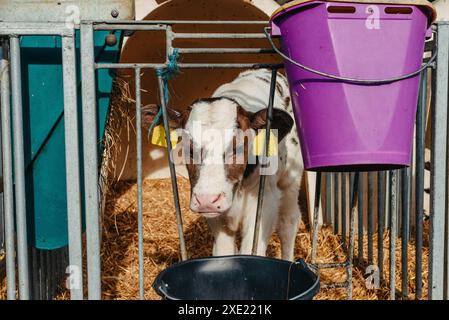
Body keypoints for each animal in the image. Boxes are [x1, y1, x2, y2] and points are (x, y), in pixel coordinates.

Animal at [144, 69, 304, 260]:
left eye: (238, 147)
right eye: (188, 148)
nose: (207, 200)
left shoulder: (265, 203)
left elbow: (253, 250)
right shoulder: (217, 217)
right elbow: (224, 252)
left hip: (291, 179)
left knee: (289, 222)